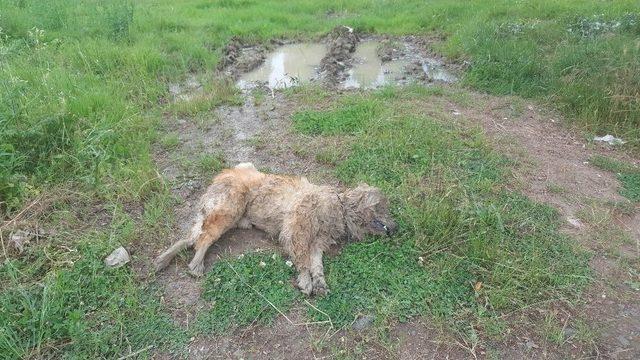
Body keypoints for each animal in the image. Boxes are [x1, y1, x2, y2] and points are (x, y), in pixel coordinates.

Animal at [155, 163, 396, 296]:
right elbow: (303, 259)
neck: (339, 206)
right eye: (383, 207)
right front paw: (305, 280)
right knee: (203, 239)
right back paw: (196, 264)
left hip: (220, 214)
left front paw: (319, 281)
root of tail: (225, 173)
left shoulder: (317, 242)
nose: (397, 227)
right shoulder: (297, 230)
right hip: (229, 208)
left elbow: (316, 262)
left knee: (190, 238)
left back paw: (163, 259)